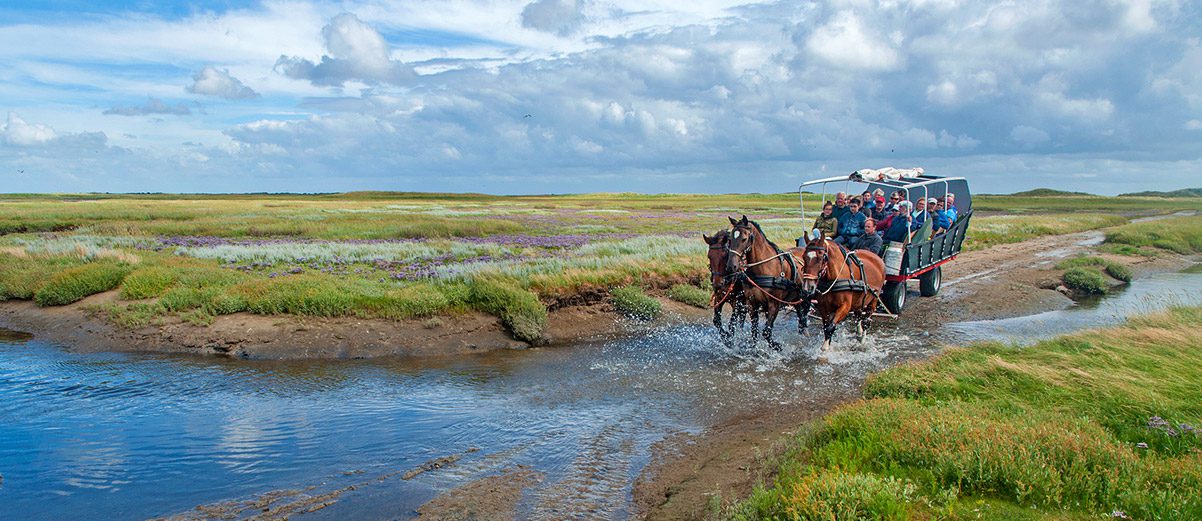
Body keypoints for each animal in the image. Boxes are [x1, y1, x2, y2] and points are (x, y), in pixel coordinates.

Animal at [721, 212, 817, 351]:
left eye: (744, 239)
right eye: (730, 240)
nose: (730, 266)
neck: (763, 268)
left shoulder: (774, 304)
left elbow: (766, 331)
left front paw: (777, 346)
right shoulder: (752, 303)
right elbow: (755, 330)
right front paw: (753, 347)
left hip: (806, 297)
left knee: (803, 318)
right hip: (795, 298)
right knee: (800, 317)